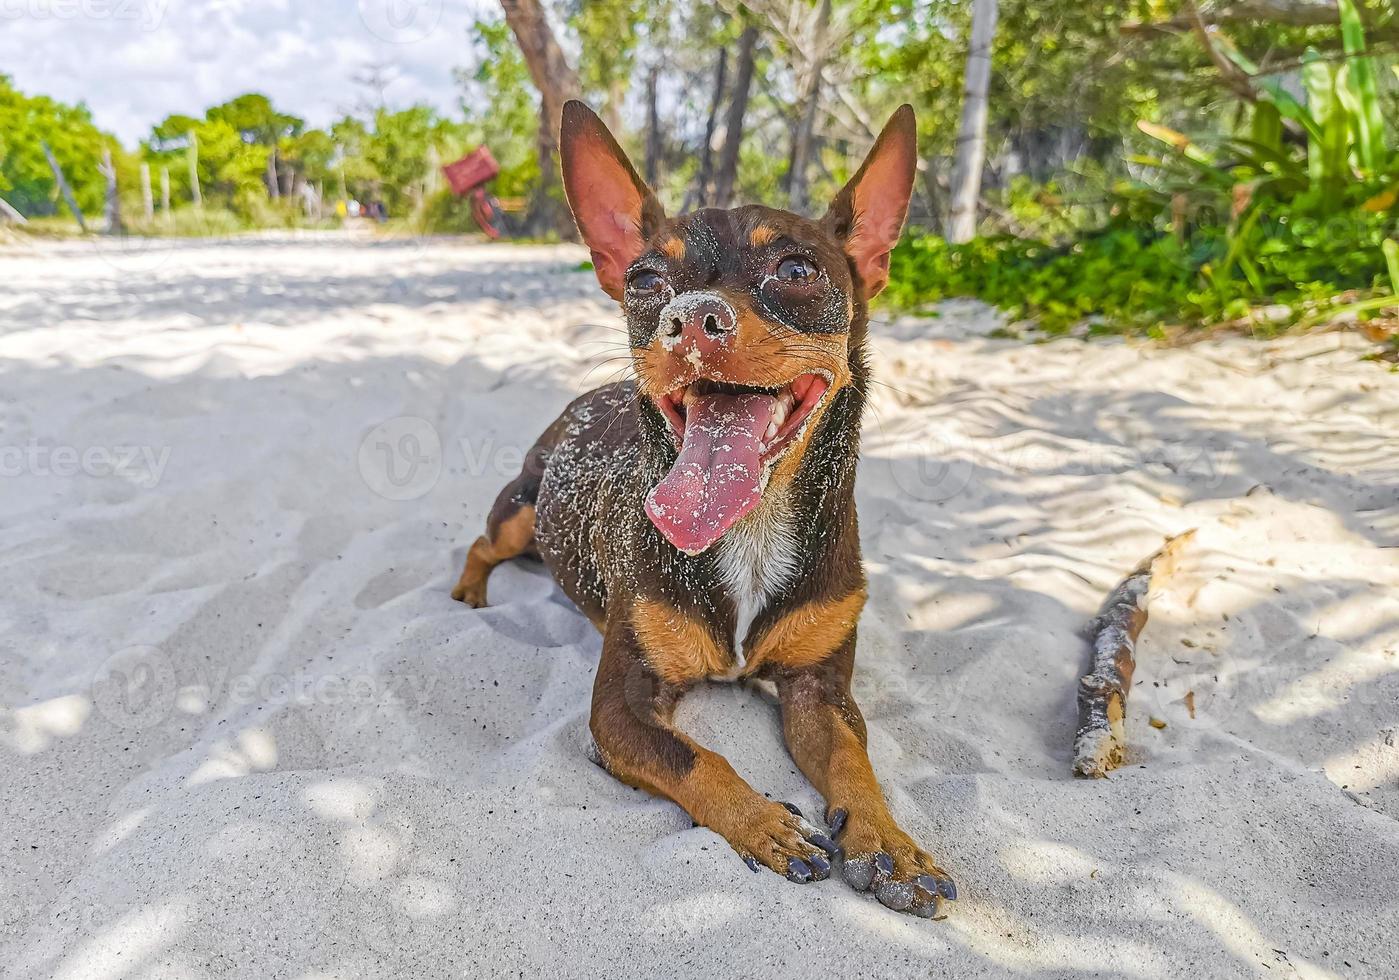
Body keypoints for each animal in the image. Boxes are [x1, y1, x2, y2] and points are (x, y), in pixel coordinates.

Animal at [453, 101, 956, 917]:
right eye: (646, 278)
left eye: (796, 270)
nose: (689, 318)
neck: (748, 529)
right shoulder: (622, 708)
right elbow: (697, 758)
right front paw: (764, 824)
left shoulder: (820, 691)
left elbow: (855, 760)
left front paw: (891, 843)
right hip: (519, 509)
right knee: (478, 544)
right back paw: (470, 593)